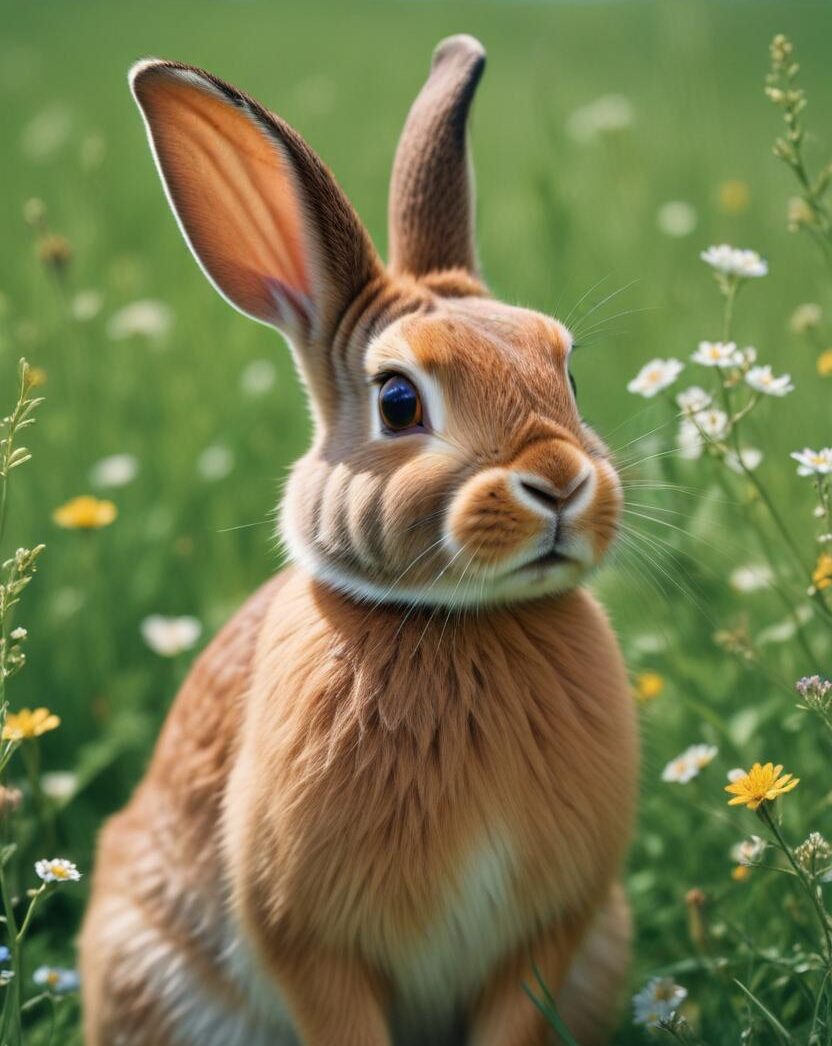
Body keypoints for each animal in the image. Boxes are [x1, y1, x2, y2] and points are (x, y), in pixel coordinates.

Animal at [80, 34, 638, 1046]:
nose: (561, 480)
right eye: (399, 400)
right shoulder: (306, 940)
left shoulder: (549, 932)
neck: (461, 622)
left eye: (567, 373)